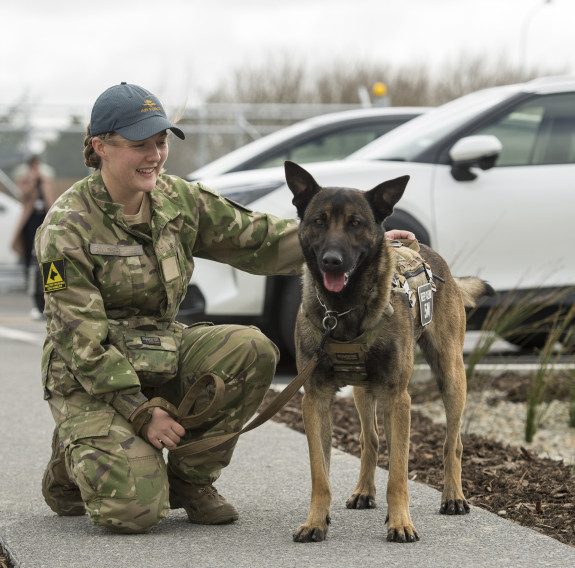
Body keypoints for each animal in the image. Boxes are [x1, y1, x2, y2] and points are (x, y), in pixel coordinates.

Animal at [286, 159, 498, 540]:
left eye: (356, 223)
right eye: (319, 221)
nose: (332, 261)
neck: (344, 310)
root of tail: (425, 250)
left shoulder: (400, 399)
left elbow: (398, 474)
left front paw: (400, 522)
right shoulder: (316, 400)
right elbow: (320, 473)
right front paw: (316, 521)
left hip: (451, 377)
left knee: (453, 442)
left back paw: (453, 496)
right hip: (363, 392)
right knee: (370, 440)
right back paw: (364, 490)